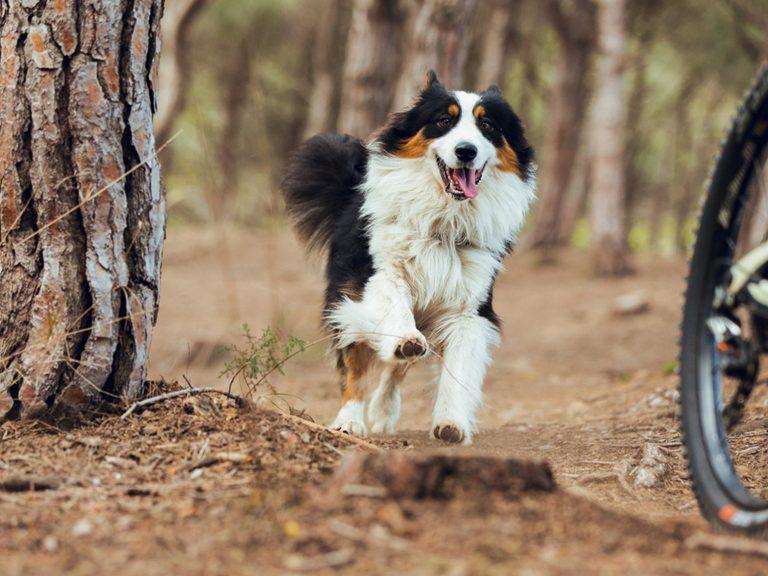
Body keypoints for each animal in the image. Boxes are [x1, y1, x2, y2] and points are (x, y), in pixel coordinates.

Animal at [282, 70, 536, 444]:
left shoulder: (469, 308)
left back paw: (383, 412)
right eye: (444, 120)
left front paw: (451, 423)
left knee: (396, 369)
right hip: (344, 300)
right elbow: (394, 306)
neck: (445, 220)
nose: (466, 151)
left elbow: (459, 365)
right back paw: (350, 420)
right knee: (355, 367)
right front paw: (405, 337)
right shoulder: (376, 273)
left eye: (487, 125)